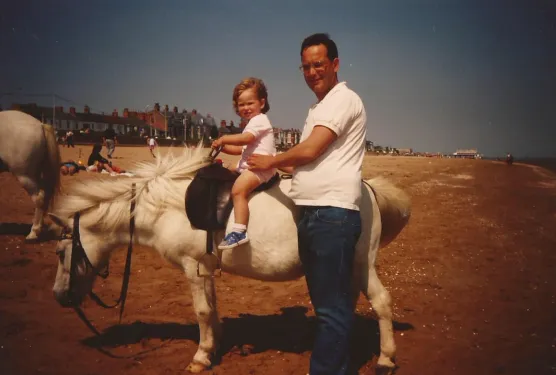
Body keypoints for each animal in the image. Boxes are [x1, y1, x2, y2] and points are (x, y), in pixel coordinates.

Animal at [47, 148, 410, 375]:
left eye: (61, 252)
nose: (60, 296)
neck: (166, 207)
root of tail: (367, 188)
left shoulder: (192, 267)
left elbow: (202, 311)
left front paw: (200, 357)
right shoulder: (204, 268)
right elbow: (212, 308)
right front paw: (214, 345)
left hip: (362, 263)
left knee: (381, 302)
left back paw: (386, 359)